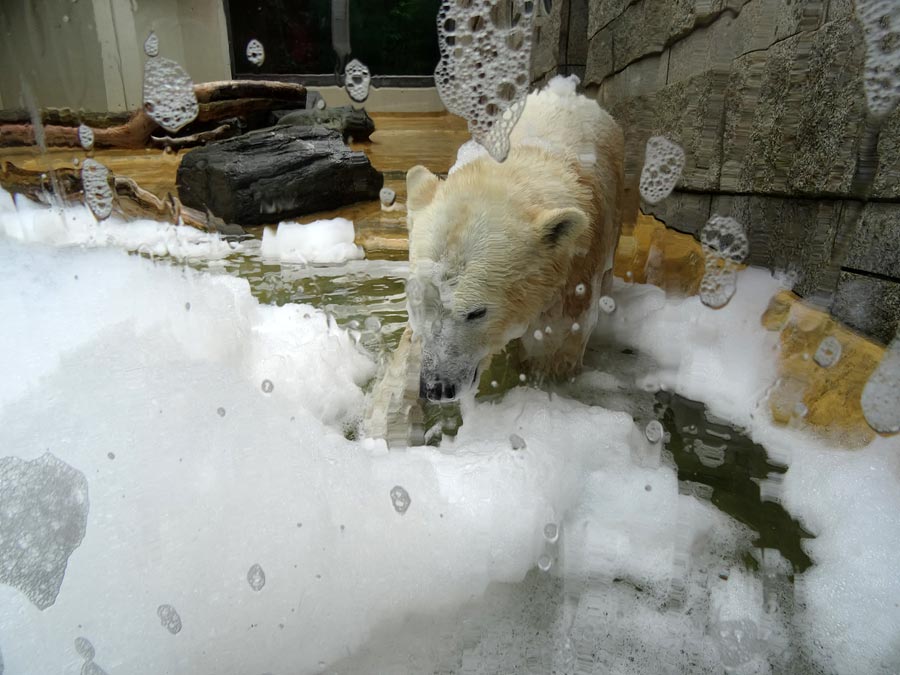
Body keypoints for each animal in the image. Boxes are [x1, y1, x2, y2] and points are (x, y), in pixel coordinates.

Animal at [362, 76, 624, 440]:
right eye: (417, 302)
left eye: (476, 312)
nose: (436, 388)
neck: (514, 168)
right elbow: (414, 345)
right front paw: (387, 424)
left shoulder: (573, 277)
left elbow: (553, 351)